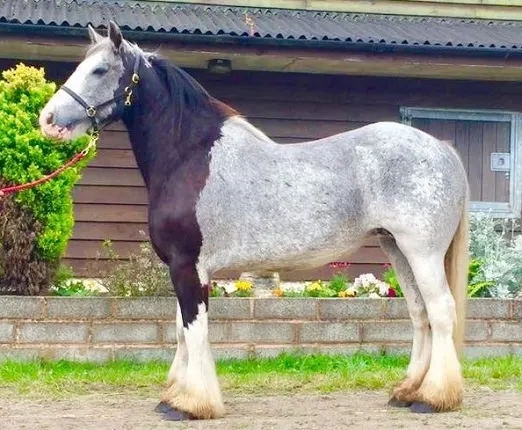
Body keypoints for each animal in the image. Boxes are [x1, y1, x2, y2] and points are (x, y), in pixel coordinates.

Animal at [38, 21, 470, 422]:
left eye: (99, 70)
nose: (48, 119)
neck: (190, 157)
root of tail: (442, 149)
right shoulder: (185, 268)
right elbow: (181, 329)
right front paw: (173, 396)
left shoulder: (188, 267)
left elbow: (194, 330)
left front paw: (192, 404)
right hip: (396, 248)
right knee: (419, 313)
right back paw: (407, 391)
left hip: (422, 252)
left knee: (440, 310)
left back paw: (434, 398)